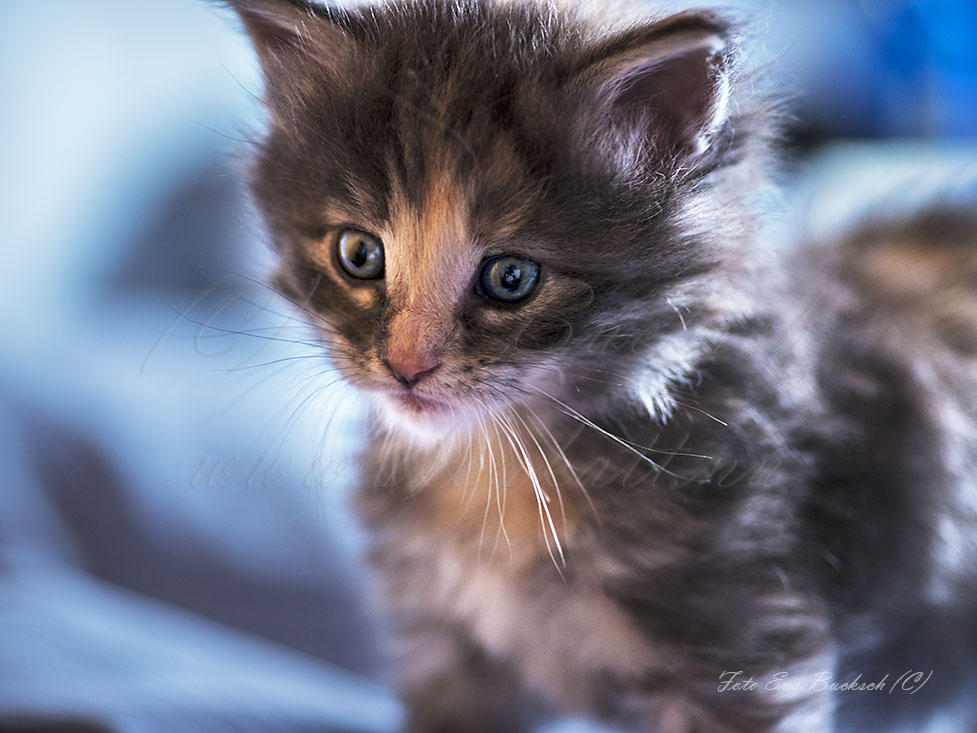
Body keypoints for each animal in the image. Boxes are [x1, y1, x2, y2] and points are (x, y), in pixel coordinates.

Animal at [223, 0, 976, 728]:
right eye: (359, 254)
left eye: (511, 277)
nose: (405, 365)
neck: (499, 473)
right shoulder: (443, 646)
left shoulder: (748, 654)